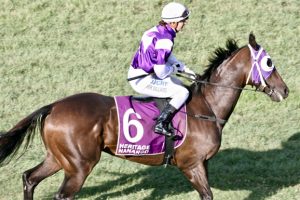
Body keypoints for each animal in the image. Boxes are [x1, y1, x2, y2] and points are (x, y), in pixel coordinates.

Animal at [0, 33, 288, 199]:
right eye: (269, 63)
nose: (285, 90)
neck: (208, 106)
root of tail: (53, 106)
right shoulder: (192, 165)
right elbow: (207, 196)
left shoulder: (202, 164)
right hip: (79, 166)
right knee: (61, 195)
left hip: (59, 158)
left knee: (29, 178)